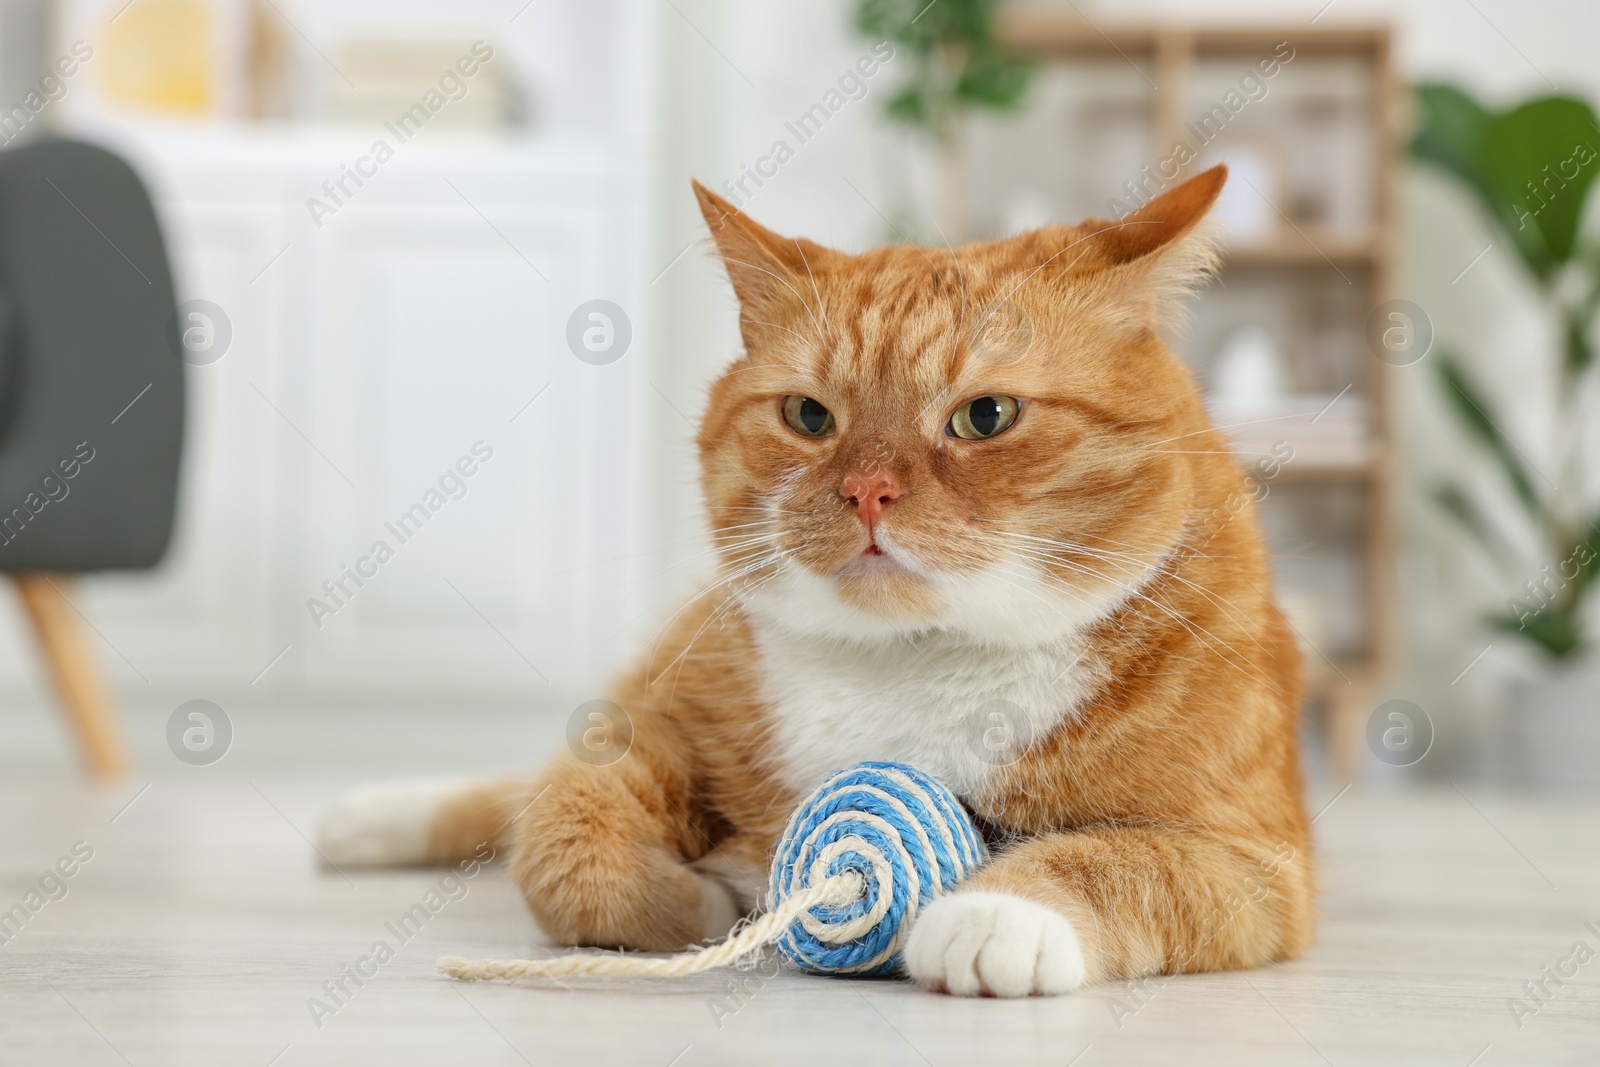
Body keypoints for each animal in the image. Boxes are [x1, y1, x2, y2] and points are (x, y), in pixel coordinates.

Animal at [321, 163, 1312, 998]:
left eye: (986, 415)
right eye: (808, 416)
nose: (866, 490)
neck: (915, 664)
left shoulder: (1258, 860)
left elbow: (1123, 862)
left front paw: (999, 914)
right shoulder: (645, 724)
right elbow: (564, 840)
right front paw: (698, 902)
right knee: (515, 793)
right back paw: (362, 817)